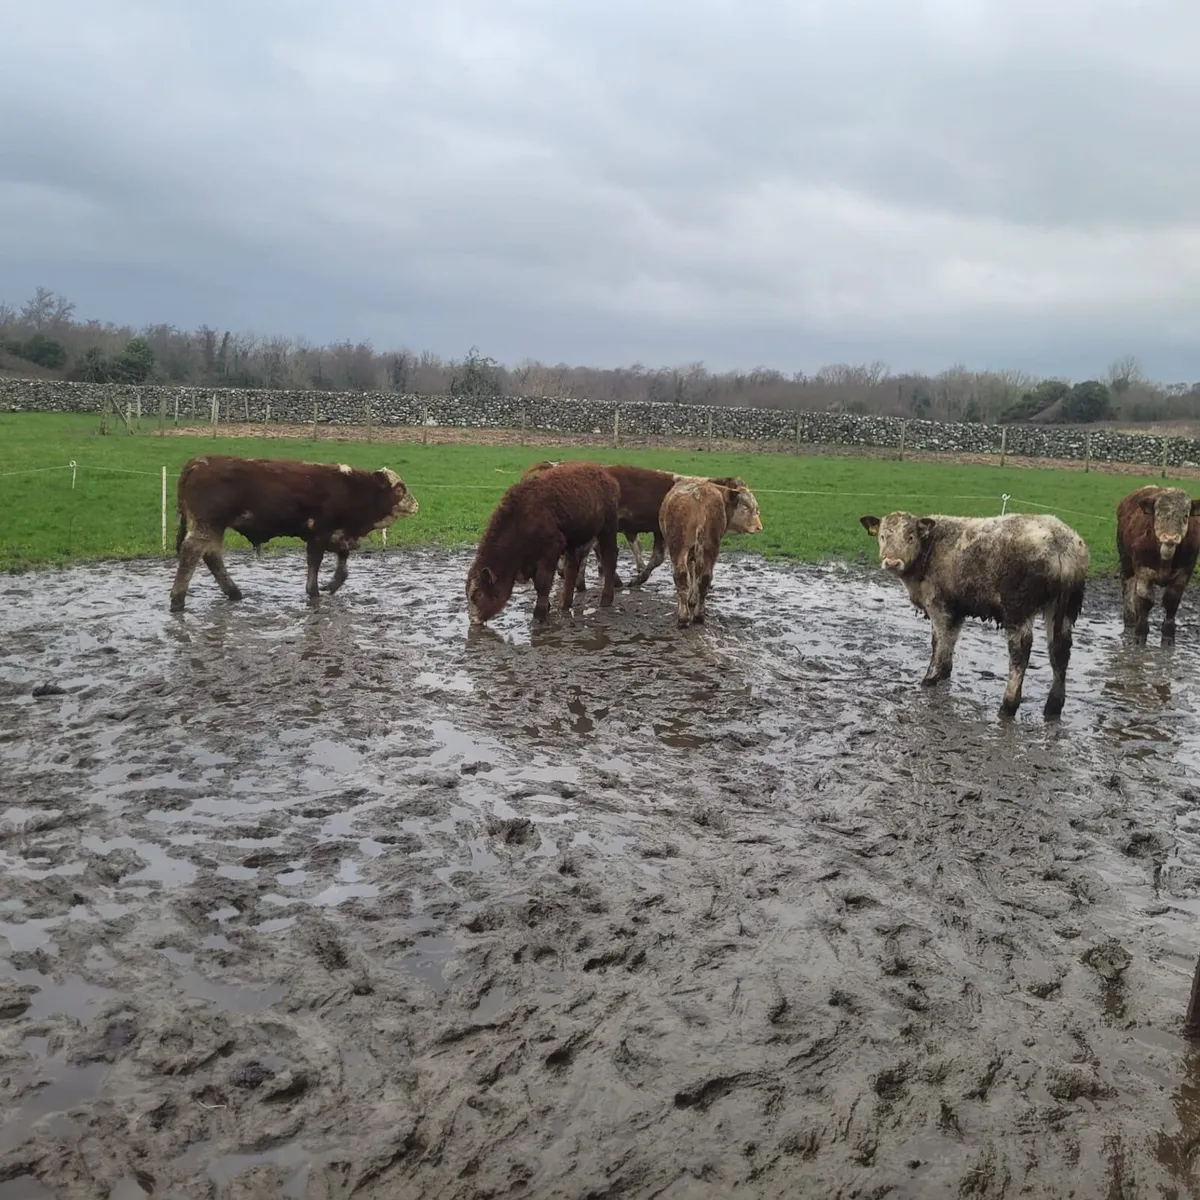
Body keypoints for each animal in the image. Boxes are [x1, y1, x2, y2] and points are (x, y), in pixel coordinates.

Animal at [169, 454, 419, 612]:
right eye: (400, 489)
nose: (416, 505)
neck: (352, 488)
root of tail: (202, 461)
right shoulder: (319, 533)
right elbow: (314, 563)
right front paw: (314, 592)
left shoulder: (339, 534)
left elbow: (343, 564)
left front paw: (332, 585)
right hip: (207, 524)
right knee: (192, 552)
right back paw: (178, 600)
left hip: (214, 527)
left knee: (211, 556)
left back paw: (234, 593)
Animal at [466, 461, 620, 624]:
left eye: (478, 594)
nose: (473, 620)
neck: (520, 518)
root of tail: (604, 474)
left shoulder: (552, 549)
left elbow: (542, 582)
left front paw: (539, 613)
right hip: (574, 540)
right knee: (572, 567)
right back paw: (565, 604)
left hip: (608, 528)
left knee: (609, 558)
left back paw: (606, 599)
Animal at [660, 477, 763, 627]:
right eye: (745, 507)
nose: (759, 527)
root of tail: (699, 496)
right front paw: (693, 599)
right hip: (711, 548)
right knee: (705, 578)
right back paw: (698, 615)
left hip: (679, 547)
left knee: (681, 576)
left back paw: (683, 617)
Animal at [859, 511, 1089, 719]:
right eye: (883, 536)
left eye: (910, 537)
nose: (892, 562)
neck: (930, 549)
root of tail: (1059, 539)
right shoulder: (956, 608)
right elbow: (950, 639)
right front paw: (945, 672)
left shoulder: (938, 605)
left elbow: (939, 640)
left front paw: (931, 677)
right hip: (1064, 610)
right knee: (1060, 651)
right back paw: (1054, 706)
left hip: (1017, 609)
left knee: (1020, 653)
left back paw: (1008, 705)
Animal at [1116, 485, 1200, 640]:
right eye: (1159, 514)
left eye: (1185, 516)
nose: (1170, 537)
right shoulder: (1144, 569)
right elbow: (1145, 600)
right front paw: (1141, 630)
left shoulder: (1185, 571)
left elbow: (1172, 600)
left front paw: (1168, 632)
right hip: (1126, 560)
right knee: (1127, 586)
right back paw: (1130, 619)